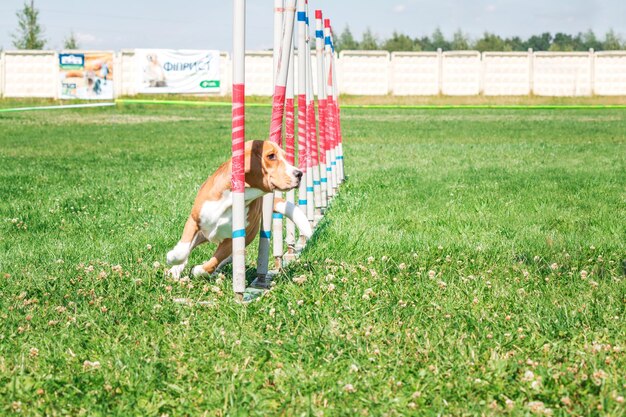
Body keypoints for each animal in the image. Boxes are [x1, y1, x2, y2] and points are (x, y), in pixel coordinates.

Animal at [167, 140, 310, 280]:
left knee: (226, 258)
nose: (299, 174)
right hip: (203, 233)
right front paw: (172, 257)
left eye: (285, 157)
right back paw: (175, 269)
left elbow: (212, 263)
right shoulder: (194, 220)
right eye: (271, 156)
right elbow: (182, 250)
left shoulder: (232, 239)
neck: (230, 200)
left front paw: (198, 270)